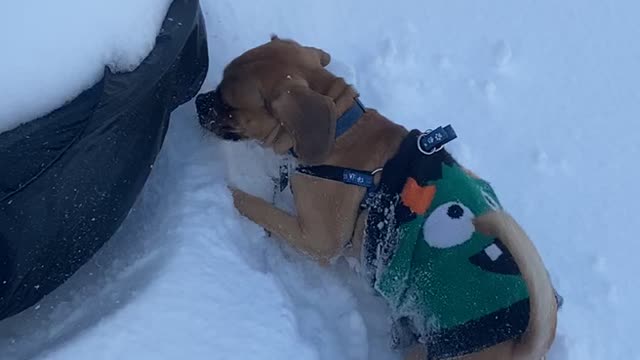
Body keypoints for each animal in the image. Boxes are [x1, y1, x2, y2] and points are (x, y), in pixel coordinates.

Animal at [194, 36, 556, 360]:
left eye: (229, 105)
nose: (198, 102)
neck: (341, 132)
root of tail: (523, 347)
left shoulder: (318, 241)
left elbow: (258, 207)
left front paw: (226, 193)